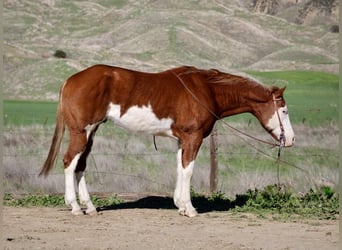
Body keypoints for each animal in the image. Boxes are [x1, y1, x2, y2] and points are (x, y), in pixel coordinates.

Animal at [38, 64, 296, 217]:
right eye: (284, 110)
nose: (291, 140)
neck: (207, 90)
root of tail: (71, 80)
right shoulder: (193, 138)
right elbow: (188, 170)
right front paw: (189, 209)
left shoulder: (182, 140)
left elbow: (180, 169)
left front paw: (180, 205)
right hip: (81, 132)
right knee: (69, 162)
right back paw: (74, 206)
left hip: (90, 133)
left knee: (80, 166)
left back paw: (89, 207)